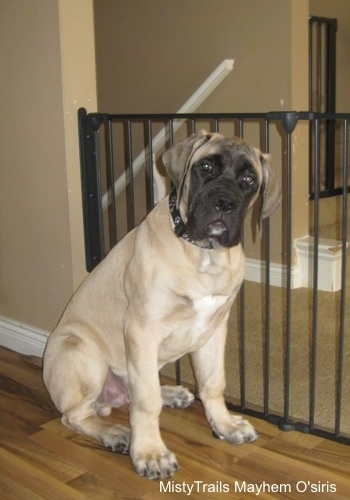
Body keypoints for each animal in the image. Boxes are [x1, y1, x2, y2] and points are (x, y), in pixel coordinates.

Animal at [43, 130, 282, 480]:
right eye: (205, 167)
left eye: (249, 179)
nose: (224, 203)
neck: (204, 253)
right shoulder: (142, 330)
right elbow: (146, 401)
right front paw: (151, 453)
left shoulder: (214, 330)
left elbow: (213, 382)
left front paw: (225, 424)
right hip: (82, 352)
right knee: (77, 415)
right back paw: (116, 433)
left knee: (133, 391)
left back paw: (173, 394)